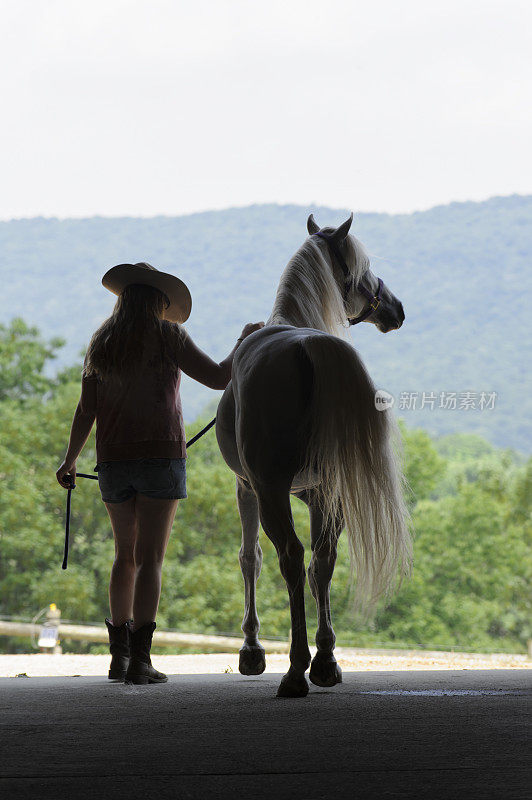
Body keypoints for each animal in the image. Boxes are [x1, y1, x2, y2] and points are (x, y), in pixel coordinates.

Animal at [216, 211, 412, 692]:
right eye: (362, 270)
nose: (396, 308)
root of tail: (309, 347)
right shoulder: (313, 491)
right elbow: (311, 568)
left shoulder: (248, 487)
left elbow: (251, 559)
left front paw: (252, 650)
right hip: (324, 490)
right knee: (321, 560)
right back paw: (323, 661)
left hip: (271, 491)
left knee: (291, 555)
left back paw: (295, 669)